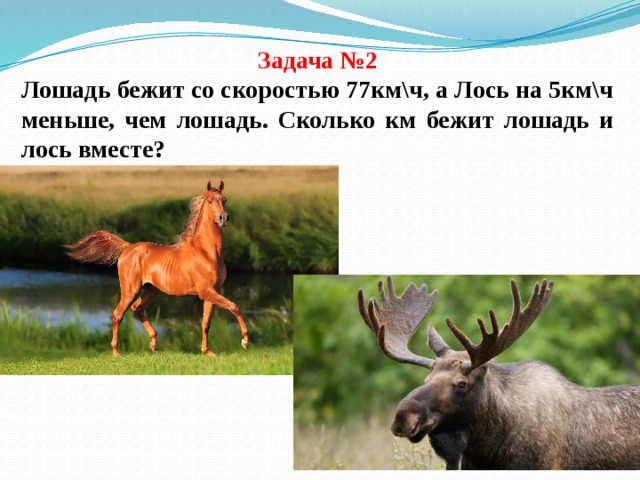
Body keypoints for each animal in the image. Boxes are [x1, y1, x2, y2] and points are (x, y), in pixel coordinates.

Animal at [64, 180, 249, 357]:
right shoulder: (206, 292)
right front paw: (245, 341)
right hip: (130, 289)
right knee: (118, 314)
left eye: (224, 200)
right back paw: (116, 352)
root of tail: (128, 247)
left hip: (152, 290)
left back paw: (153, 343)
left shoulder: (210, 292)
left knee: (137, 308)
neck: (207, 252)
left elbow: (206, 323)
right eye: (210, 200)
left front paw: (207, 352)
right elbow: (235, 307)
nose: (223, 218)